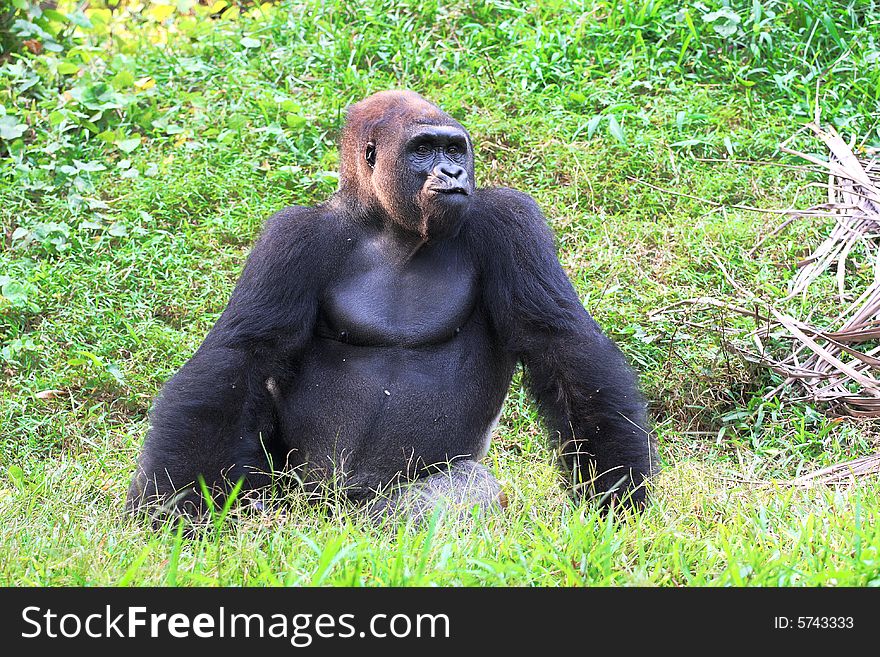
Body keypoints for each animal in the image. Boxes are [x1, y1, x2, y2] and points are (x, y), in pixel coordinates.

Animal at [127, 89, 656, 524]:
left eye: (454, 149)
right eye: (423, 150)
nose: (453, 172)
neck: (389, 226)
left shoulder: (511, 220)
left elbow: (560, 344)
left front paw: (618, 493)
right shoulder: (290, 237)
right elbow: (241, 356)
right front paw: (171, 508)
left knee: (466, 490)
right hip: (296, 497)